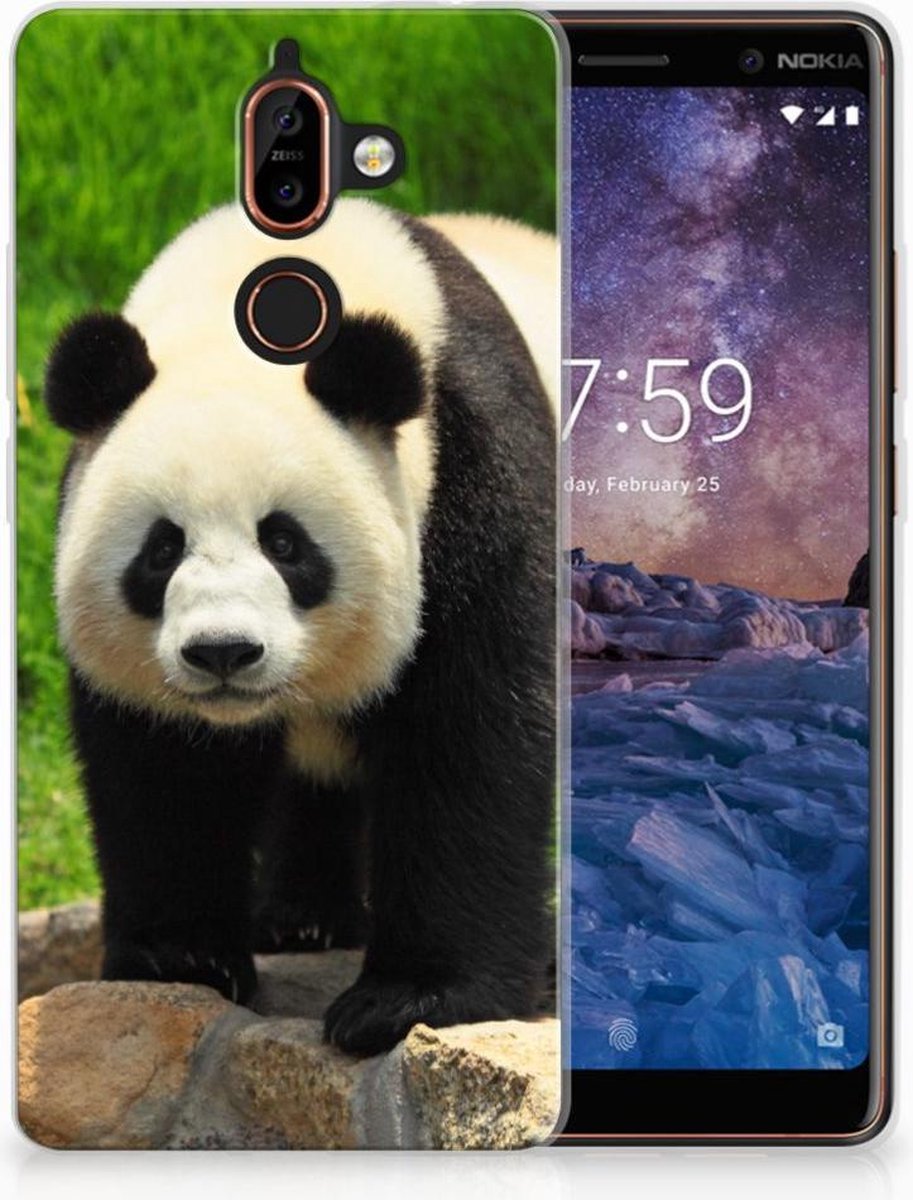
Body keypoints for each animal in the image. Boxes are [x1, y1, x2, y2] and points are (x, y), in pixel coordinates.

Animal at [46, 197, 558, 1056]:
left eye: (284, 543)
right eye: (161, 549)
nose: (223, 652)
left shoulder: (475, 476)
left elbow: (470, 734)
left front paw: (409, 999)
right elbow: (163, 766)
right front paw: (180, 958)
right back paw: (302, 919)